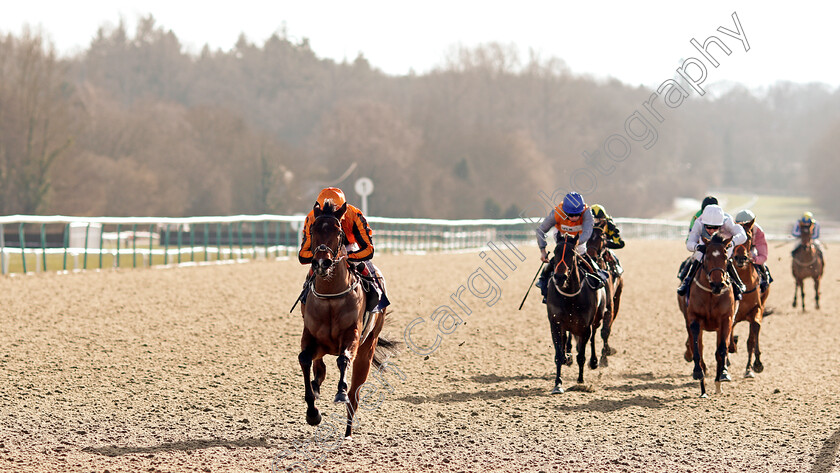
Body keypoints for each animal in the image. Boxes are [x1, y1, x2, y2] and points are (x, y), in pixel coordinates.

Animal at [296, 201, 398, 436]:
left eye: (338, 231)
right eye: (313, 230)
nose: (321, 263)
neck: (331, 297)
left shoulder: (352, 336)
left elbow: (343, 360)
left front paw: (340, 392)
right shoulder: (312, 337)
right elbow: (304, 359)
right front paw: (312, 412)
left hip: (367, 348)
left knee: (355, 395)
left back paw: (348, 432)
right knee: (319, 368)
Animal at [548, 234, 608, 392]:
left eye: (572, 254)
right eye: (555, 252)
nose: (560, 277)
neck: (570, 297)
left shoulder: (585, 327)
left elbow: (581, 354)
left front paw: (580, 380)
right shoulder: (555, 324)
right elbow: (559, 354)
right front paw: (558, 383)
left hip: (596, 319)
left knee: (593, 336)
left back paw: (593, 361)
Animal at [676, 234, 736, 396]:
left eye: (725, 256)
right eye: (707, 256)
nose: (718, 284)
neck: (711, 294)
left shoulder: (726, 320)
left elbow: (721, 349)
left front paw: (722, 376)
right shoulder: (695, 319)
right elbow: (698, 348)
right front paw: (698, 372)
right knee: (698, 346)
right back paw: (703, 387)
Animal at [728, 223, 768, 378]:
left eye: (749, 236)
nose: (741, 258)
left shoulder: (756, 310)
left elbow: (752, 338)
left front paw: (754, 366)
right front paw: (732, 346)